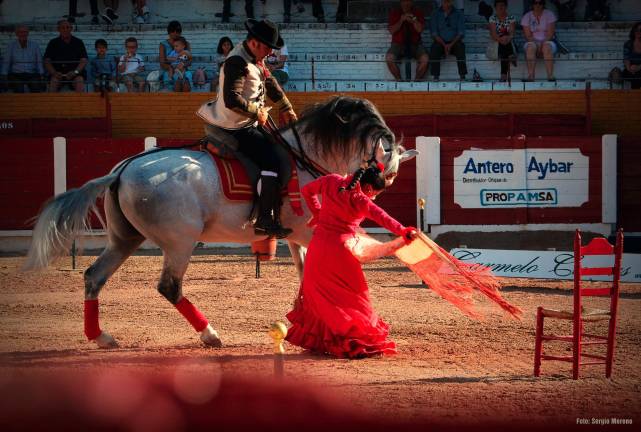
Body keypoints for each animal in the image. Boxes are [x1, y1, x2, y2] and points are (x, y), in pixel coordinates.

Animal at [23, 94, 416, 348]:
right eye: (383, 172)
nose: (370, 199)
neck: (303, 156)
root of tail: (120, 171)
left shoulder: (295, 235)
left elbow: (305, 275)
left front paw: (301, 322)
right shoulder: (310, 231)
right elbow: (324, 273)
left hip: (124, 240)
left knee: (94, 276)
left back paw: (102, 337)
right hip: (180, 242)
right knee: (169, 287)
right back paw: (211, 335)